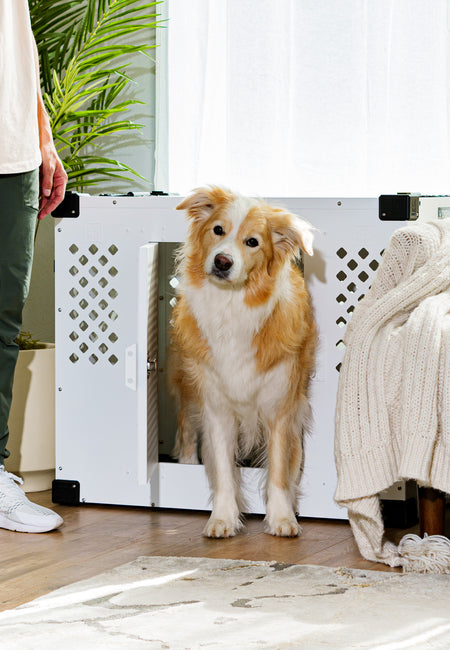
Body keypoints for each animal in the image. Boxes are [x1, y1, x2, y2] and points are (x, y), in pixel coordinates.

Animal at [168, 186, 316, 536]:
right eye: (217, 230)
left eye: (252, 242)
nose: (222, 262)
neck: (232, 304)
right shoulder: (217, 407)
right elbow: (223, 468)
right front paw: (222, 518)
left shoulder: (281, 408)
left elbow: (279, 470)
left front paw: (281, 518)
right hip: (187, 380)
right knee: (185, 426)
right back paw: (187, 461)